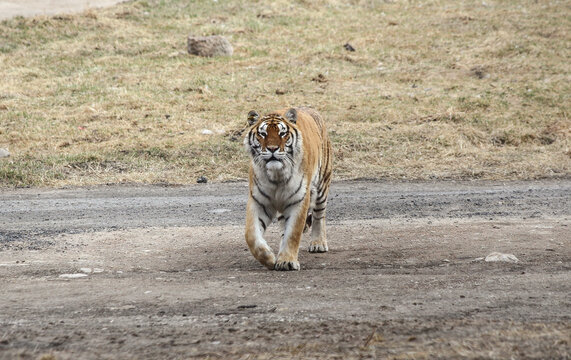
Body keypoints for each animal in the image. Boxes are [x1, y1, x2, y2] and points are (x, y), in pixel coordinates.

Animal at [244, 107, 332, 270]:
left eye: (282, 133)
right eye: (263, 134)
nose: (272, 149)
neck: (277, 175)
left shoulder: (299, 200)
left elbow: (293, 233)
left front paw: (287, 261)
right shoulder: (258, 201)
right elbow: (251, 235)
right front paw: (268, 258)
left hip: (322, 185)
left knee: (319, 216)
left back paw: (318, 243)